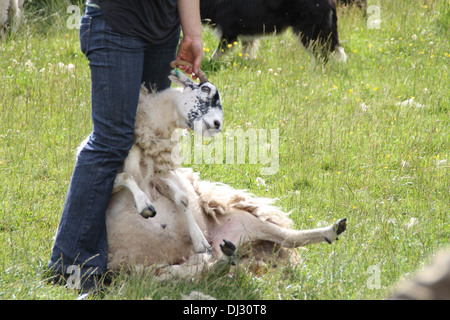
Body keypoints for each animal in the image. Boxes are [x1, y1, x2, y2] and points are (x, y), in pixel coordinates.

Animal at [103, 60, 348, 280]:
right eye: (205, 89)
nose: (218, 125)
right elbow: (125, 176)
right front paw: (145, 205)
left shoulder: (163, 175)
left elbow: (181, 197)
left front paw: (198, 238)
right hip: (155, 272)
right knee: (203, 270)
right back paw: (225, 256)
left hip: (241, 221)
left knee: (289, 237)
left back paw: (332, 230)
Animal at [199, 0, 346, 62]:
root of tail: (330, 2)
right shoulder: (248, 37)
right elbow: (246, 54)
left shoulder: (229, 35)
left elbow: (216, 55)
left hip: (309, 35)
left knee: (323, 56)